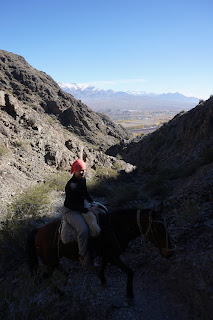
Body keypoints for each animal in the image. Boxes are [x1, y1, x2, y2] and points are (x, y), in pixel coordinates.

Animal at [26, 205, 175, 298]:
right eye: (158, 229)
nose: (170, 252)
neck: (117, 227)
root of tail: (38, 231)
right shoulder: (113, 256)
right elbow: (130, 272)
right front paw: (129, 293)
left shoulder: (107, 256)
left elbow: (103, 266)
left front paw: (102, 279)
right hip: (50, 262)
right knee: (45, 278)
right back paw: (60, 293)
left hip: (54, 260)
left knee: (55, 271)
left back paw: (66, 278)